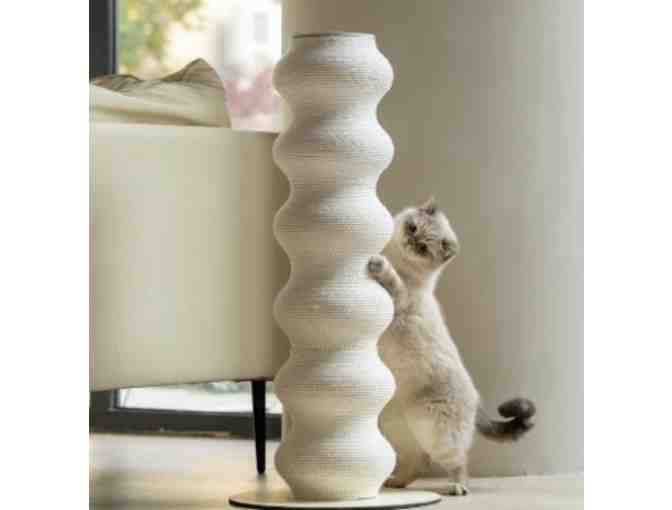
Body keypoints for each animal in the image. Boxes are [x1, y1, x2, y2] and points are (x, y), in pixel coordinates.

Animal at [368, 197, 536, 496]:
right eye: (412, 228)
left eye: (423, 248)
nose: (410, 241)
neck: (399, 260)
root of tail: (477, 399)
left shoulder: (399, 298)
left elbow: (390, 278)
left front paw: (377, 263)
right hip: (396, 427)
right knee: (418, 461)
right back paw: (395, 483)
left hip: (439, 434)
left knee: (457, 462)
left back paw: (457, 488)